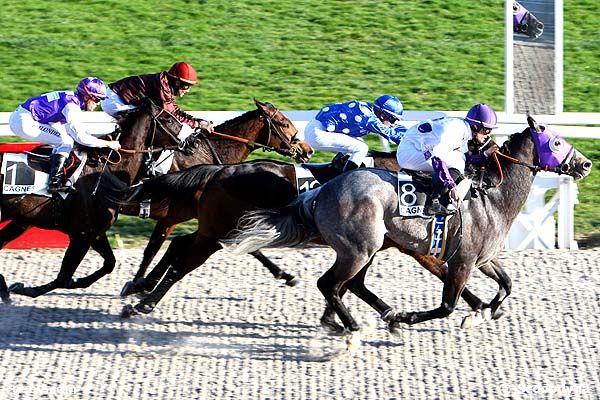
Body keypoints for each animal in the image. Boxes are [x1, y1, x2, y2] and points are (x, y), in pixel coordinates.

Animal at [0, 101, 184, 302]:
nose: (192, 140)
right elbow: (64, 278)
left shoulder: (94, 233)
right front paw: (25, 289)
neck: (108, 171)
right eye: (168, 118)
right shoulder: (82, 235)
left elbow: (109, 264)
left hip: (20, 220)